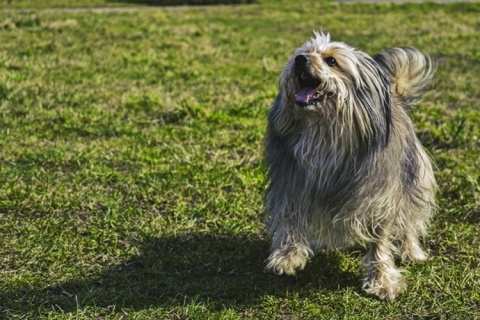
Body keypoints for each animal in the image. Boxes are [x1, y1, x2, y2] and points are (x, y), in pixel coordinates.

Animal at [264, 33, 436, 302]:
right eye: (302, 53)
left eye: (332, 61)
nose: (300, 60)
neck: (326, 133)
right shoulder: (293, 182)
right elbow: (291, 216)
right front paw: (287, 256)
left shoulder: (381, 196)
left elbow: (380, 239)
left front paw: (381, 279)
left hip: (414, 179)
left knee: (409, 220)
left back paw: (411, 251)